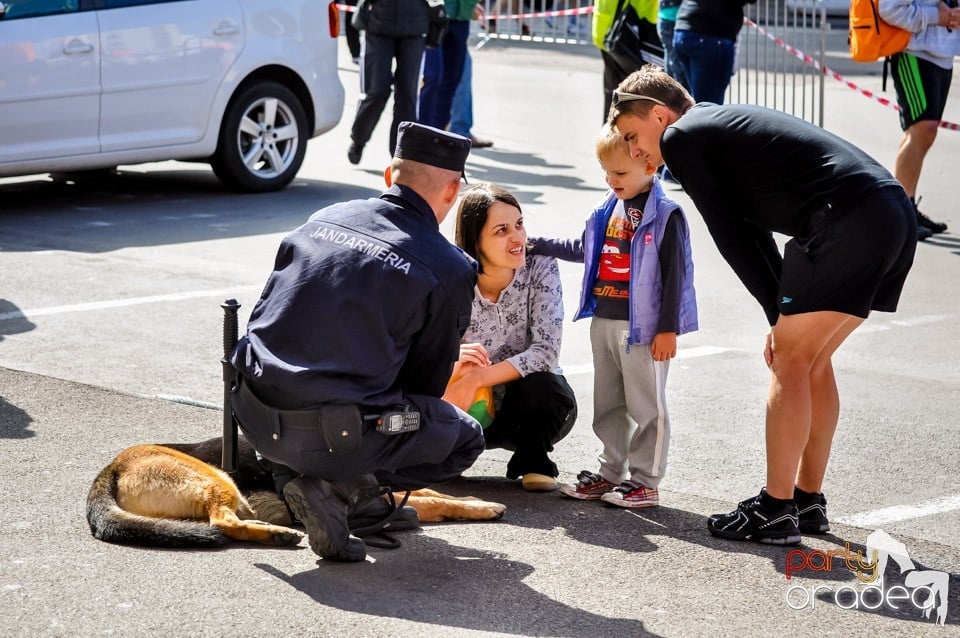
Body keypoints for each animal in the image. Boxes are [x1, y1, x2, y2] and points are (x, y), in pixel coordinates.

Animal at [88, 440, 510, 552]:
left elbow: (432, 491)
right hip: (216, 477)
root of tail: (108, 470)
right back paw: (278, 534)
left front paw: (474, 503)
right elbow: (435, 499)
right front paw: (485, 506)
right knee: (221, 522)